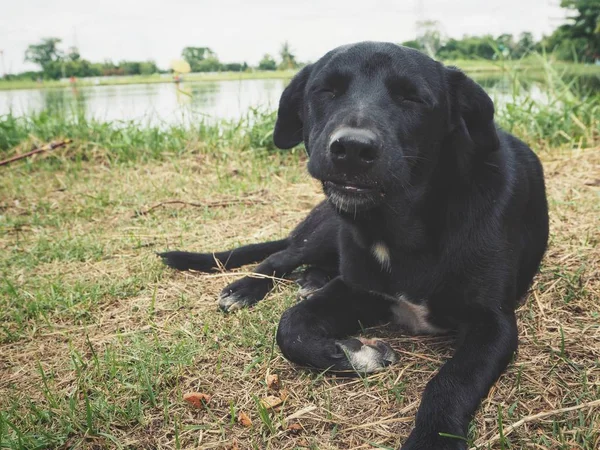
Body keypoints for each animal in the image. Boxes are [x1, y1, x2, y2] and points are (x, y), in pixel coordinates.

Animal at [161, 41, 548, 446]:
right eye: (326, 90)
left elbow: (452, 381)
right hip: (325, 231)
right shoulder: (355, 290)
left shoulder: (493, 323)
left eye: (412, 97)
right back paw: (245, 288)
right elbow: (289, 327)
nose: (351, 149)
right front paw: (357, 354)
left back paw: (309, 279)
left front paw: (431, 436)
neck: (402, 226)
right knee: (279, 256)